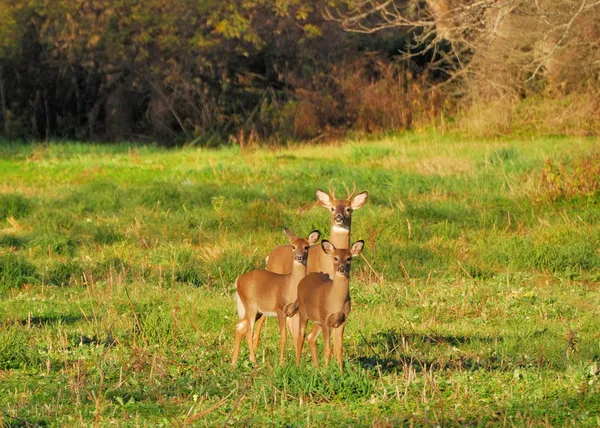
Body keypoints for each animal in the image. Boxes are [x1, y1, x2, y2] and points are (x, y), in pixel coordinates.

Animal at [232, 227, 322, 368]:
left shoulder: (295, 312)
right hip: (250, 306)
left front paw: (298, 364)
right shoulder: (280, 309)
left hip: (257, 311)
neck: (290, 287)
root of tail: (238, 280)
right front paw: (282, 363)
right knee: (248, 332)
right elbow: (283, 337)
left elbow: (297, 336)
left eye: (306, 247)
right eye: (293, 246)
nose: (299, 257)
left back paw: (233, 363)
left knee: (239, 327)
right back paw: (254, 362)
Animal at [292, 239, 364, 372]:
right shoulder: (326, 319)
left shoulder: (341, 321)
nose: (341, 268)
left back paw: (316, 368)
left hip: (318, 320)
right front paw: (326, 371)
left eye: (349, 258)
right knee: (300, 337)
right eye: (335, 258)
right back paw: (298, 366)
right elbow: (327, 349)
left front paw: (341, 372)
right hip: (304, 312)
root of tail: (304, 279)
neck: (336, 302)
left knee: (311, 337)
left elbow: (338, 349)